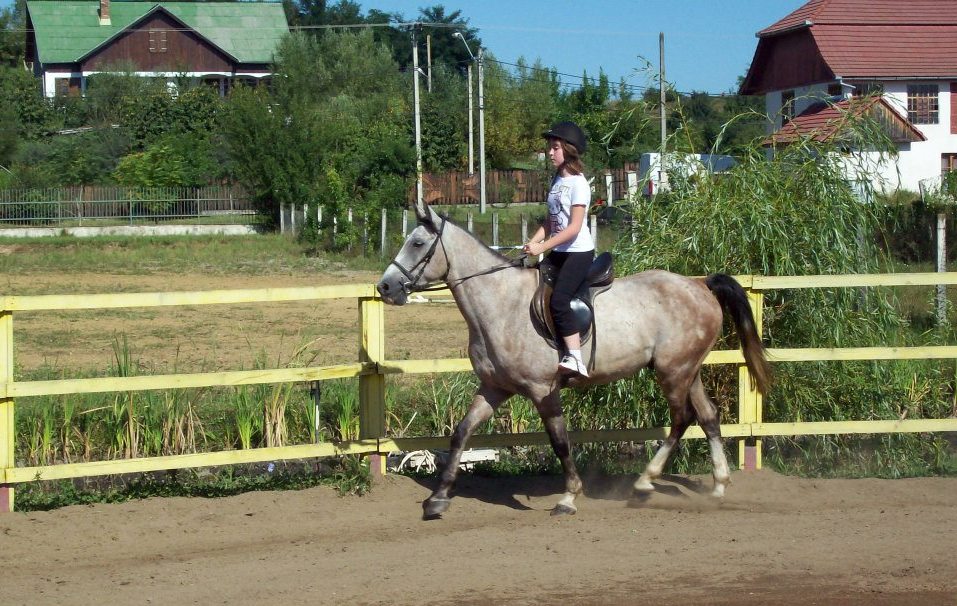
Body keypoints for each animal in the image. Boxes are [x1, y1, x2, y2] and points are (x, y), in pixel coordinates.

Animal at [376, 201, 768, 524]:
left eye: (417, 243)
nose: (385, 287)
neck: (501, 304)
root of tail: (700, 284)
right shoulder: (494, 388)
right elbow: (461, 433)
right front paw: (437, 499)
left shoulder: (542, 390)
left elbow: (560, 441)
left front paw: (568, 498)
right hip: (688, 369)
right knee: (708, 416)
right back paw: (717, 487)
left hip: (672, 371)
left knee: (682, 418)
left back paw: (644, 484)